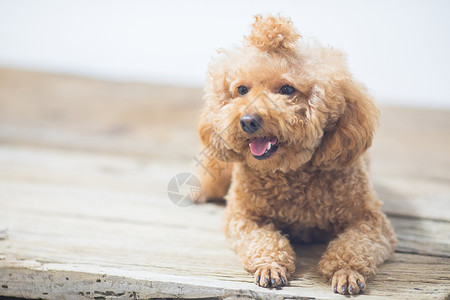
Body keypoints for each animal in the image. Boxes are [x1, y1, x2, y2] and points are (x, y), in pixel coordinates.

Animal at [197, 15, 398, 294]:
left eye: (287, 89)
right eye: (242, 90)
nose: (248, 121)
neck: (290, 173)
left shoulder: (371, 221)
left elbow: (354, 245)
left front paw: (346, 271)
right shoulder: (243, 217)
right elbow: (263, 240)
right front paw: (270, 267)